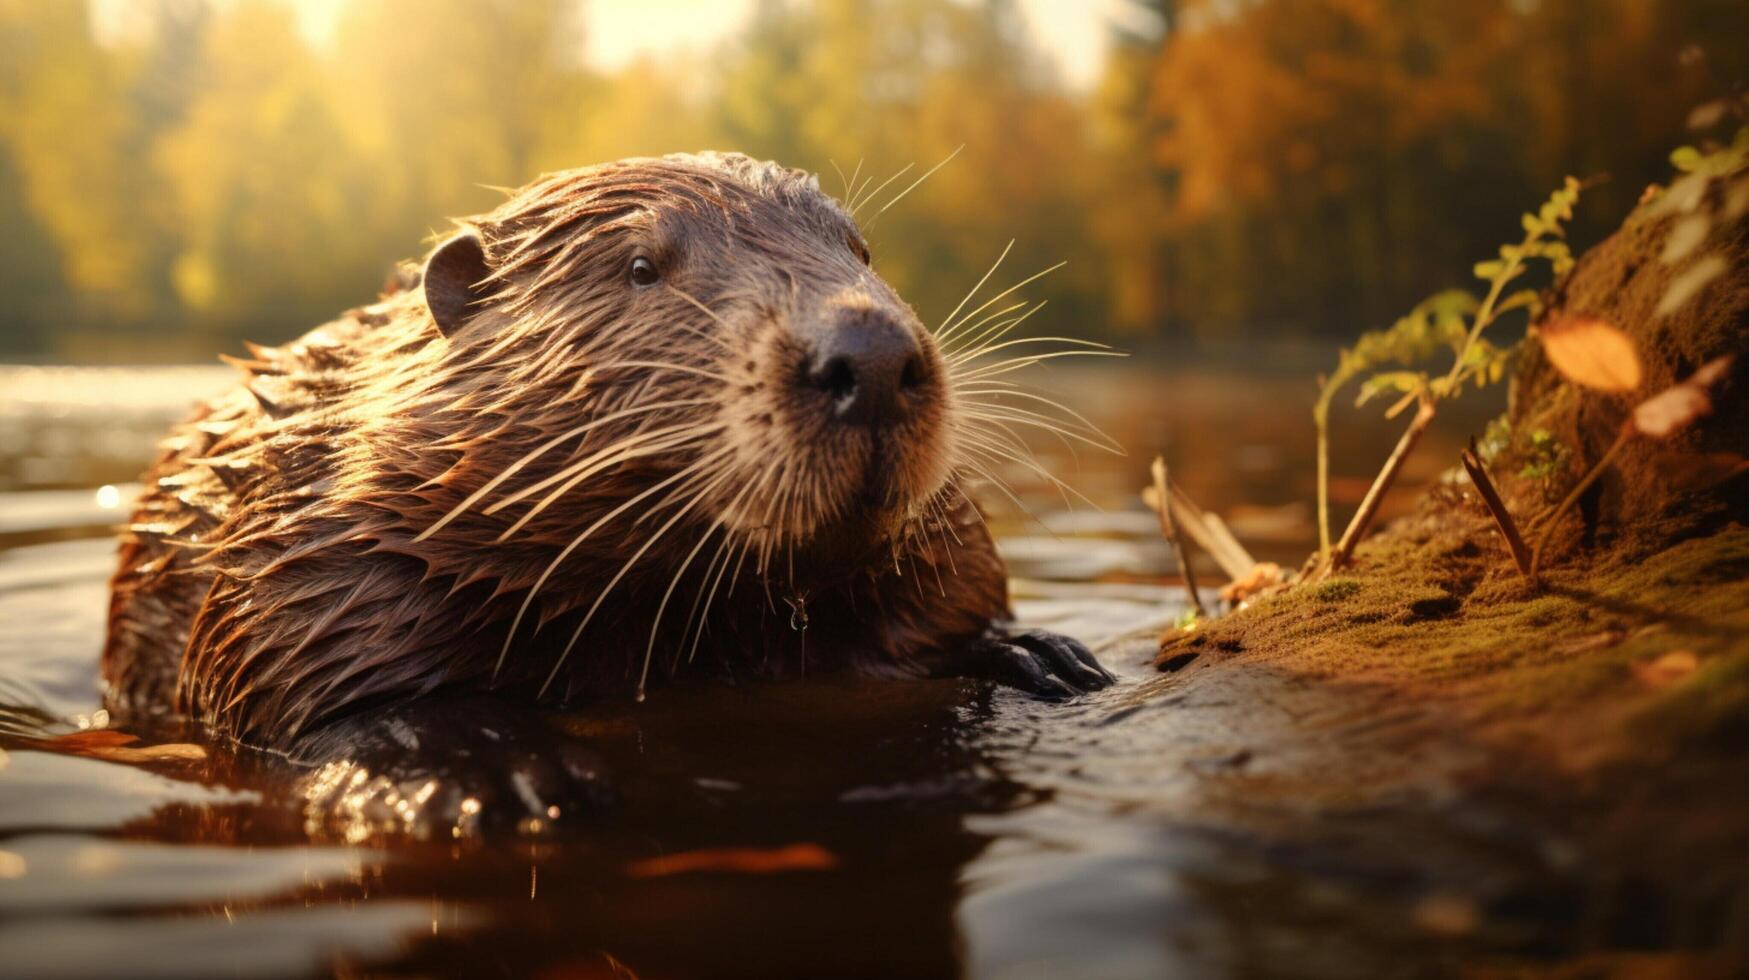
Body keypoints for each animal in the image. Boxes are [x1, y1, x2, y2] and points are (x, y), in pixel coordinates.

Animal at [102, 153, 1112, 833]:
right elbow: (317, 692)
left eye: (861, 250)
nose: (869, 358)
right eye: (638, 267)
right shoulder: (312, 547)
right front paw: (504, 778)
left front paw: (1043, 657)